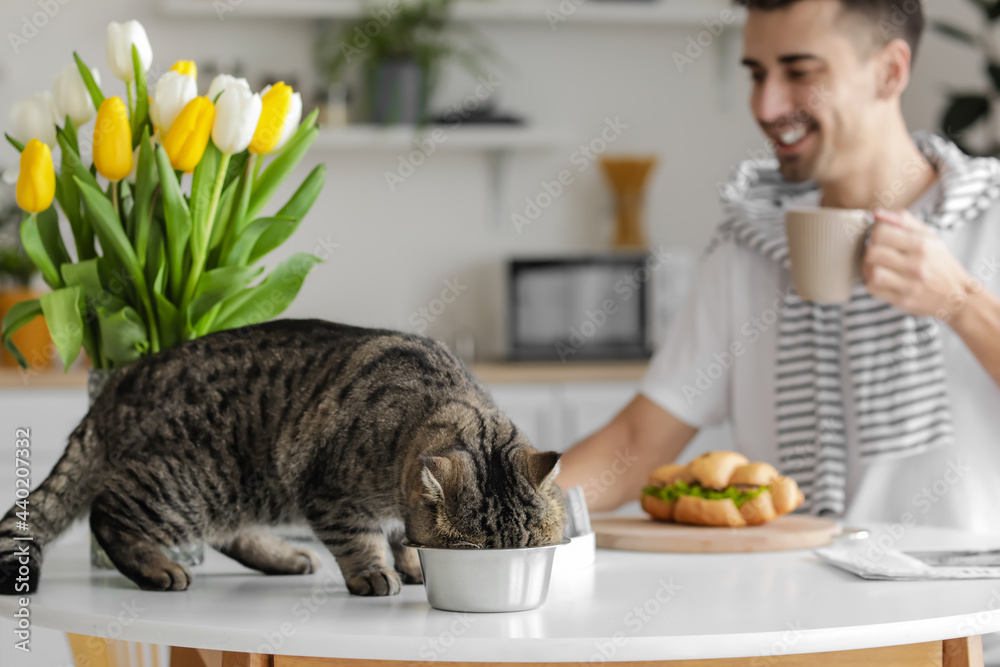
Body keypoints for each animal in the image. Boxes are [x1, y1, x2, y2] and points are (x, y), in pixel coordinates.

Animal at [0, 320, 568, 596]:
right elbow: (362, 541)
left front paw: (409, 563)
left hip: (232, 491)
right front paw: (376, 572)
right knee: (107, 512)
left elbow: (401, 535)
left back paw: (285, 557)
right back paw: (157, 569)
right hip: (189, 483)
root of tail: (118, 382)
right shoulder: (330, 494)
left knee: (227, 533)